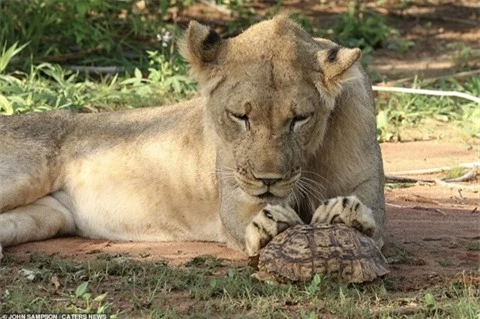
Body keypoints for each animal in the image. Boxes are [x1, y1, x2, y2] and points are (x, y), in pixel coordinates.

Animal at [0, 15, 386, 260]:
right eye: (241, 117)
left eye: (299, 119)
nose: (269, 180)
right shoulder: (236, 195)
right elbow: (252, 213)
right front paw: (271, 224)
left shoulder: (362, 180)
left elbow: (370, 212)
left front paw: (346, 213)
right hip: (25, 175)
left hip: (46, 216)